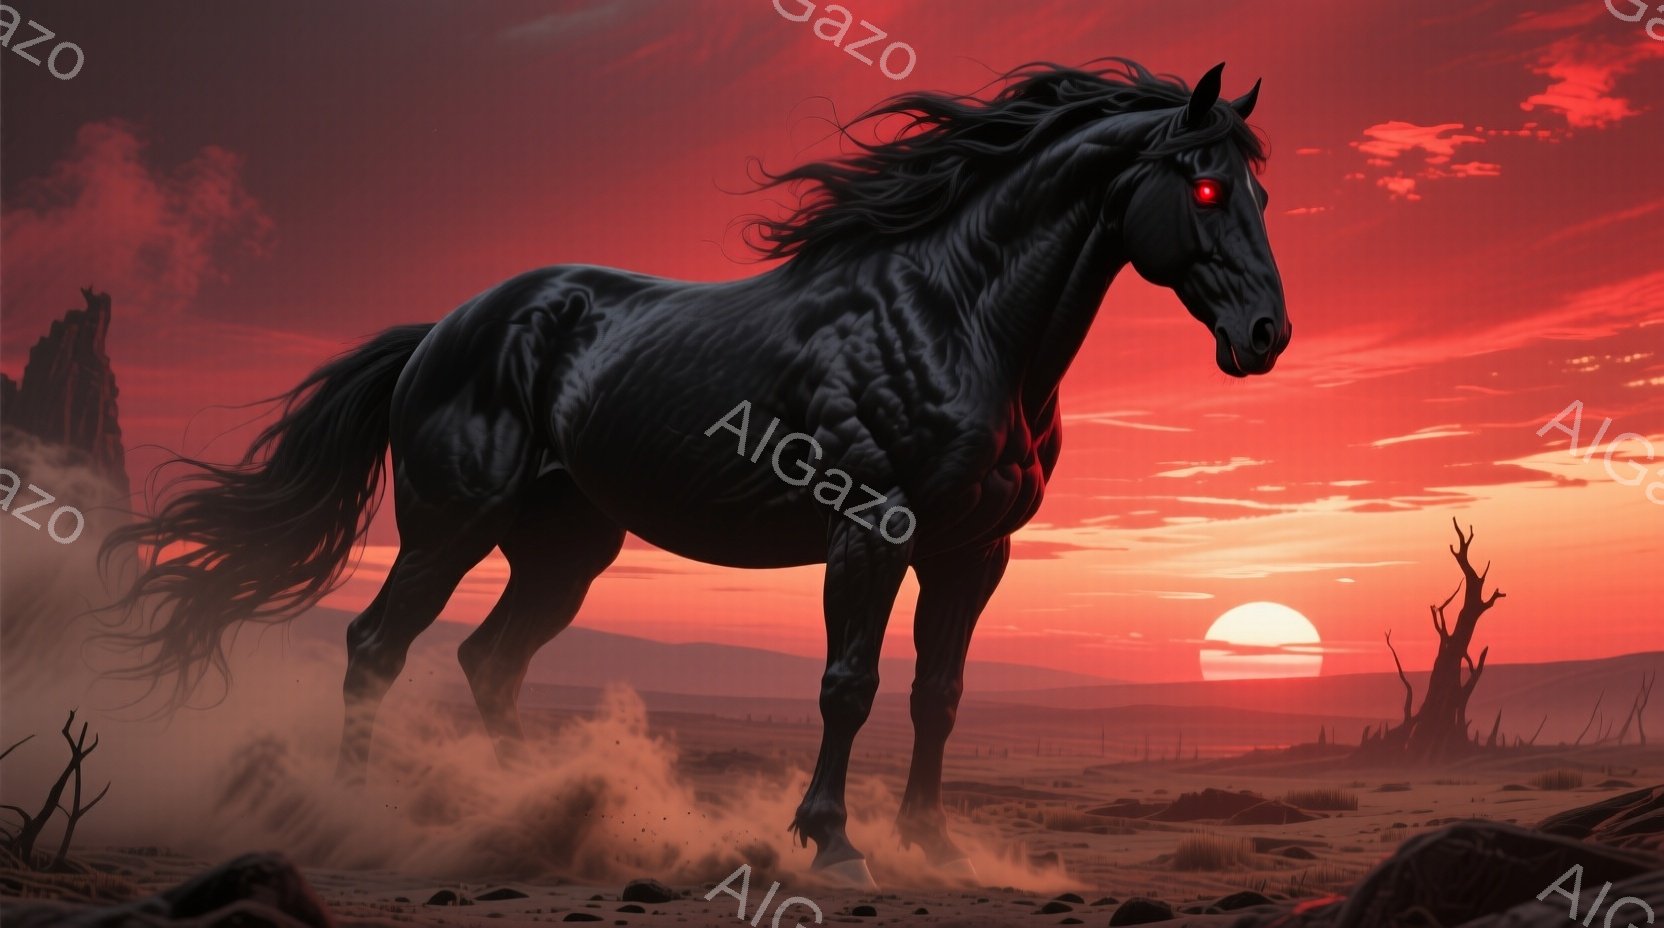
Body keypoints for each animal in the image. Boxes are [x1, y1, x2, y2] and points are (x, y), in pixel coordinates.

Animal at [103, 58, 1290, 889]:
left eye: (1261, 197)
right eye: (1202, 186)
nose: (1266, 336)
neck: (957, 318)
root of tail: (445, 327)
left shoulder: (973, 553)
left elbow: (939, 695)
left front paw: (934, 846)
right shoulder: (871, 528)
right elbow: (849, 685)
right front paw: (835, 844)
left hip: (565, 551)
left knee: (491, 660)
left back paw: (525, 810)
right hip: (449, 526)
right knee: (376, 646)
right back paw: (356, 814)